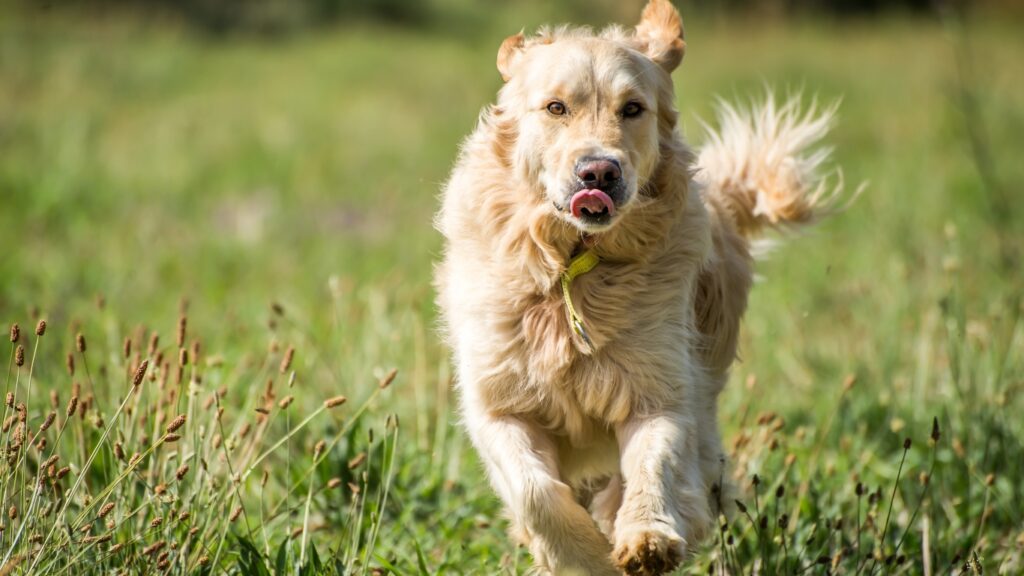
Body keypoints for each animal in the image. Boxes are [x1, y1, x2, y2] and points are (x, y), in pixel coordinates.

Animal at [436, 2, 843, 569]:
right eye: (556, 107)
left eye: (632, 109)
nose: (599, 172)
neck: (574, 268)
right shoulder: (500, 403)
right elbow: (536, 492)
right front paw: (582, 556)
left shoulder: (659, 390)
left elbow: (656, 463)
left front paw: (645, 536)